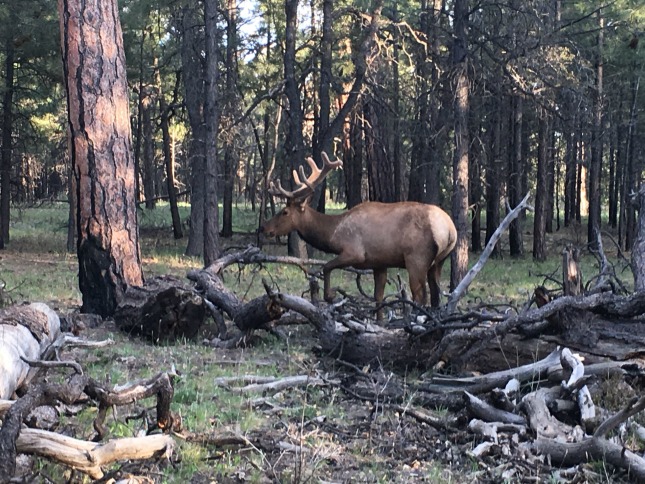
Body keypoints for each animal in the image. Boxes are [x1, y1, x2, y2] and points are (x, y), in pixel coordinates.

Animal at [260, 152, 456, 314]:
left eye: (285, 212)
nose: (264, 228)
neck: (332, 234)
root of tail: (449, 229)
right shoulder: (379, 262)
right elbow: (378, 297)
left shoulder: (355, 252)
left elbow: (326, 266)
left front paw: (331, 295)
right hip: (438, 261)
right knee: (436, 295)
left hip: (416, 258)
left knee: (420, 295)